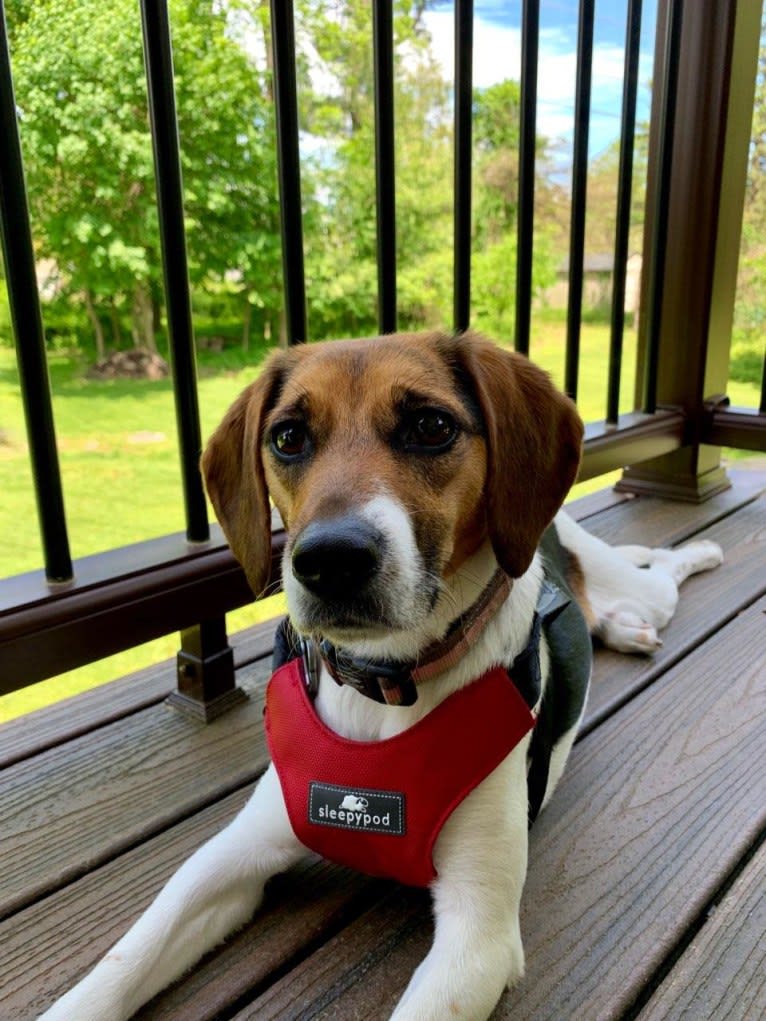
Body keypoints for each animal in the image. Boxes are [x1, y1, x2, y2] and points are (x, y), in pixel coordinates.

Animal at [40, 330, 727, 1016]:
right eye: (288, 437)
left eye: (431, 427)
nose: (330, 560)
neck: (385, 683)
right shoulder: (232, 856)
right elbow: (123, 963)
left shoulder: (477, 934)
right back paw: (622, 625)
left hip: (640, 582)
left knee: (665, 570)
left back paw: (697, 553)